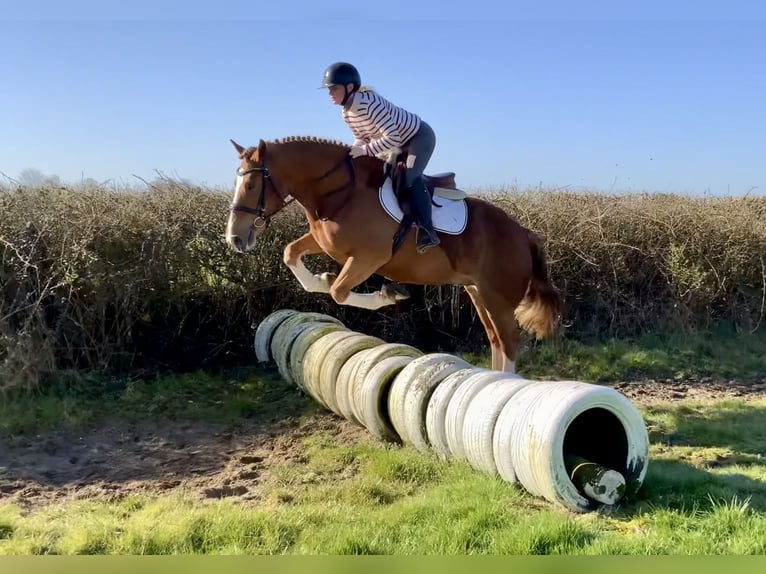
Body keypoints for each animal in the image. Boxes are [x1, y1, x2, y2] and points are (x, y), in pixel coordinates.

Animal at [225, 136, 562, 373]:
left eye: (251, 184)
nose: (234, 238)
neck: (339, 192)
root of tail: (524, 233)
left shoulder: (369, 258)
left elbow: (339, 291)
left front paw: (386, 295)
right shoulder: (325, 243)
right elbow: (291, 254)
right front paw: (322, 278)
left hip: (498, 297)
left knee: (508, 342)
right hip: (478, 292)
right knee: (496, 341)